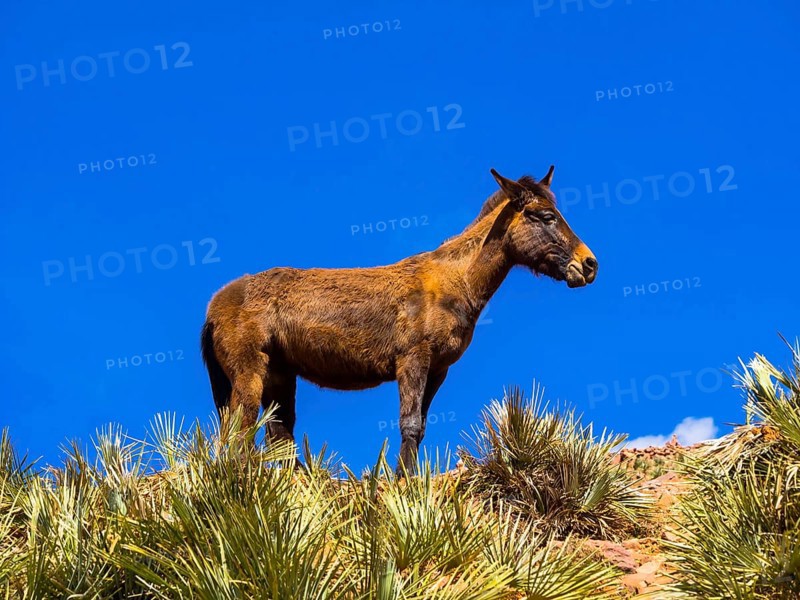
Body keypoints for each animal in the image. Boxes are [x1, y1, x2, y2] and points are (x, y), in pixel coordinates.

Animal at [201, 166, 598, 473]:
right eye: (546, 217)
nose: (589, 264)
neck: (454, 282)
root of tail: (215, 305)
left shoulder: (438, 370)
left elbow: (420, 427)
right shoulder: (412, 359)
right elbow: (409, 424)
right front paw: (402, 481)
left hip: (280, 376)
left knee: (279, 438)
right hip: (249, 372)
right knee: (239, 432)